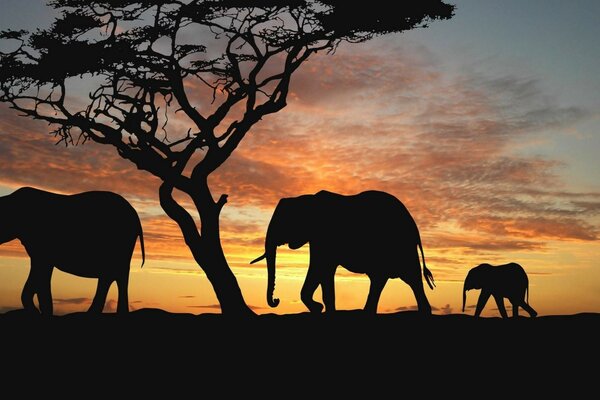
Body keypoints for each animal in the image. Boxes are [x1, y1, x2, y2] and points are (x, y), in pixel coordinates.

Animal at [0, 188, 145, 316]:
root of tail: (135, 216)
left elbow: (42, 268)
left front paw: (42, 312)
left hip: (120, 243)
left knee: (117, 274)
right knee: (111, 275)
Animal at [251, 191, 434, 316]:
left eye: (283, 222)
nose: (276, 300)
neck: (306, 199)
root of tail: (414, 225)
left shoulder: (324, 237)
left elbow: (320, 267)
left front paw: (320, 309)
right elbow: (322, 271)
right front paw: (321, 309)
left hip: (401, 246)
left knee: (411, 277)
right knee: (381, 278)